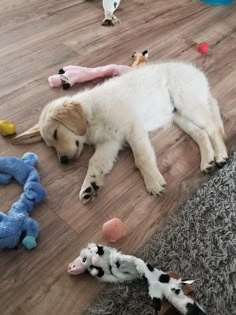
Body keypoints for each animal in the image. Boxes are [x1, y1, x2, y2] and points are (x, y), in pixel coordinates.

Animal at [12, 62, 227, 205]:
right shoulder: (109, 143)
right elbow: (95, 162)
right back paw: (208, 161)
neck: (91, 115)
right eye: (51, 145)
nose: (63, 161)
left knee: (213, 128)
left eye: (56, 134)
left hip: (188, 103)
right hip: (178, 115)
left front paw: (153, 182)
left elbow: (141, 159)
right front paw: (89, 185)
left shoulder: (133, 129)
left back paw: (221, 156)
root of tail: (196, 72)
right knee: (201, 134)